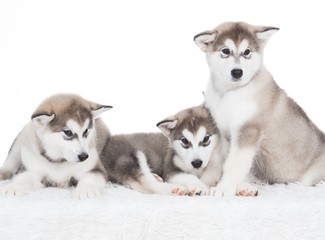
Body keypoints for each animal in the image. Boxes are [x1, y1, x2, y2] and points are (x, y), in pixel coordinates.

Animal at [194, 21, 325, 197]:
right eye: (226, 51)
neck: (228, 93)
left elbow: (234, 164)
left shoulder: (248, 131)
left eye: (247, 52)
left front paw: (224, 187)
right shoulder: (225, 134)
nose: (237, 72)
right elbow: (225, 163)